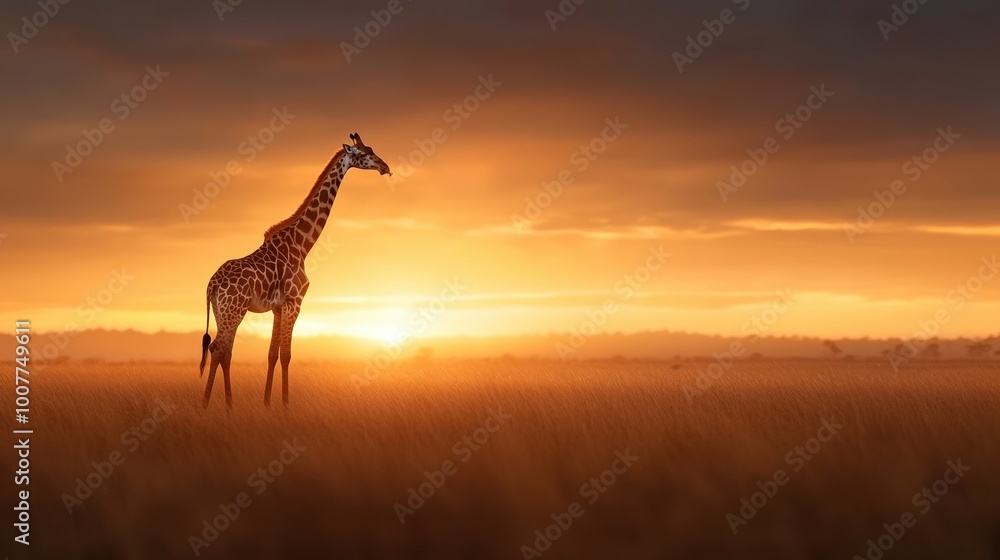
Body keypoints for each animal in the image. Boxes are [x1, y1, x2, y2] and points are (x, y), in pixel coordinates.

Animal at [199, 132, 391, 409]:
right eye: (366, 153)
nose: (385, 167)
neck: (302, 244)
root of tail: (211, 285)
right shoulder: (295, 301)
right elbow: (287, 355)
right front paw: (285, 405)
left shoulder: (278, 307)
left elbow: (272, 353)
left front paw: (267, 403)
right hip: (234, 310)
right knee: (218, 348)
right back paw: (207, 406)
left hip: (223, 311)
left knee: (225, 350)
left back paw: (229, 406)